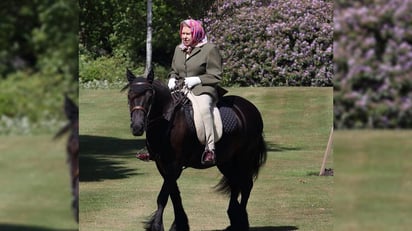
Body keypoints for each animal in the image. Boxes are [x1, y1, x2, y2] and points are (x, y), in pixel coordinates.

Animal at [124, 69, 266, 230]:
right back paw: (234, 219)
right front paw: (180, 224)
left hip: (244, 158)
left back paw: (241, 220)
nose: (137, 127)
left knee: (246, 185)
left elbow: (163, 197)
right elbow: (174, 195)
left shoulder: (174, 165)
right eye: (129, 95)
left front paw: (156, 226)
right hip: (226, 161)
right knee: (235, 183)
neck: (167, 122)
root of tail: (250, 108)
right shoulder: (162, 165)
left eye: (150, 96)